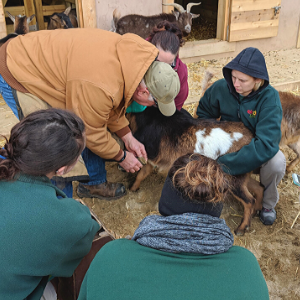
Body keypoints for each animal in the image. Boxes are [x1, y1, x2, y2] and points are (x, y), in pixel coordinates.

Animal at [126, 106, 262, 236]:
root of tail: (250, 137)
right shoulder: (151, 160)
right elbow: (142, 174)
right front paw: (132, 189)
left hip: (232, 177)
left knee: (249, 200)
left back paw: (242, 228)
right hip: (242, 173)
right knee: (259, 188)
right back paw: (256, 211)